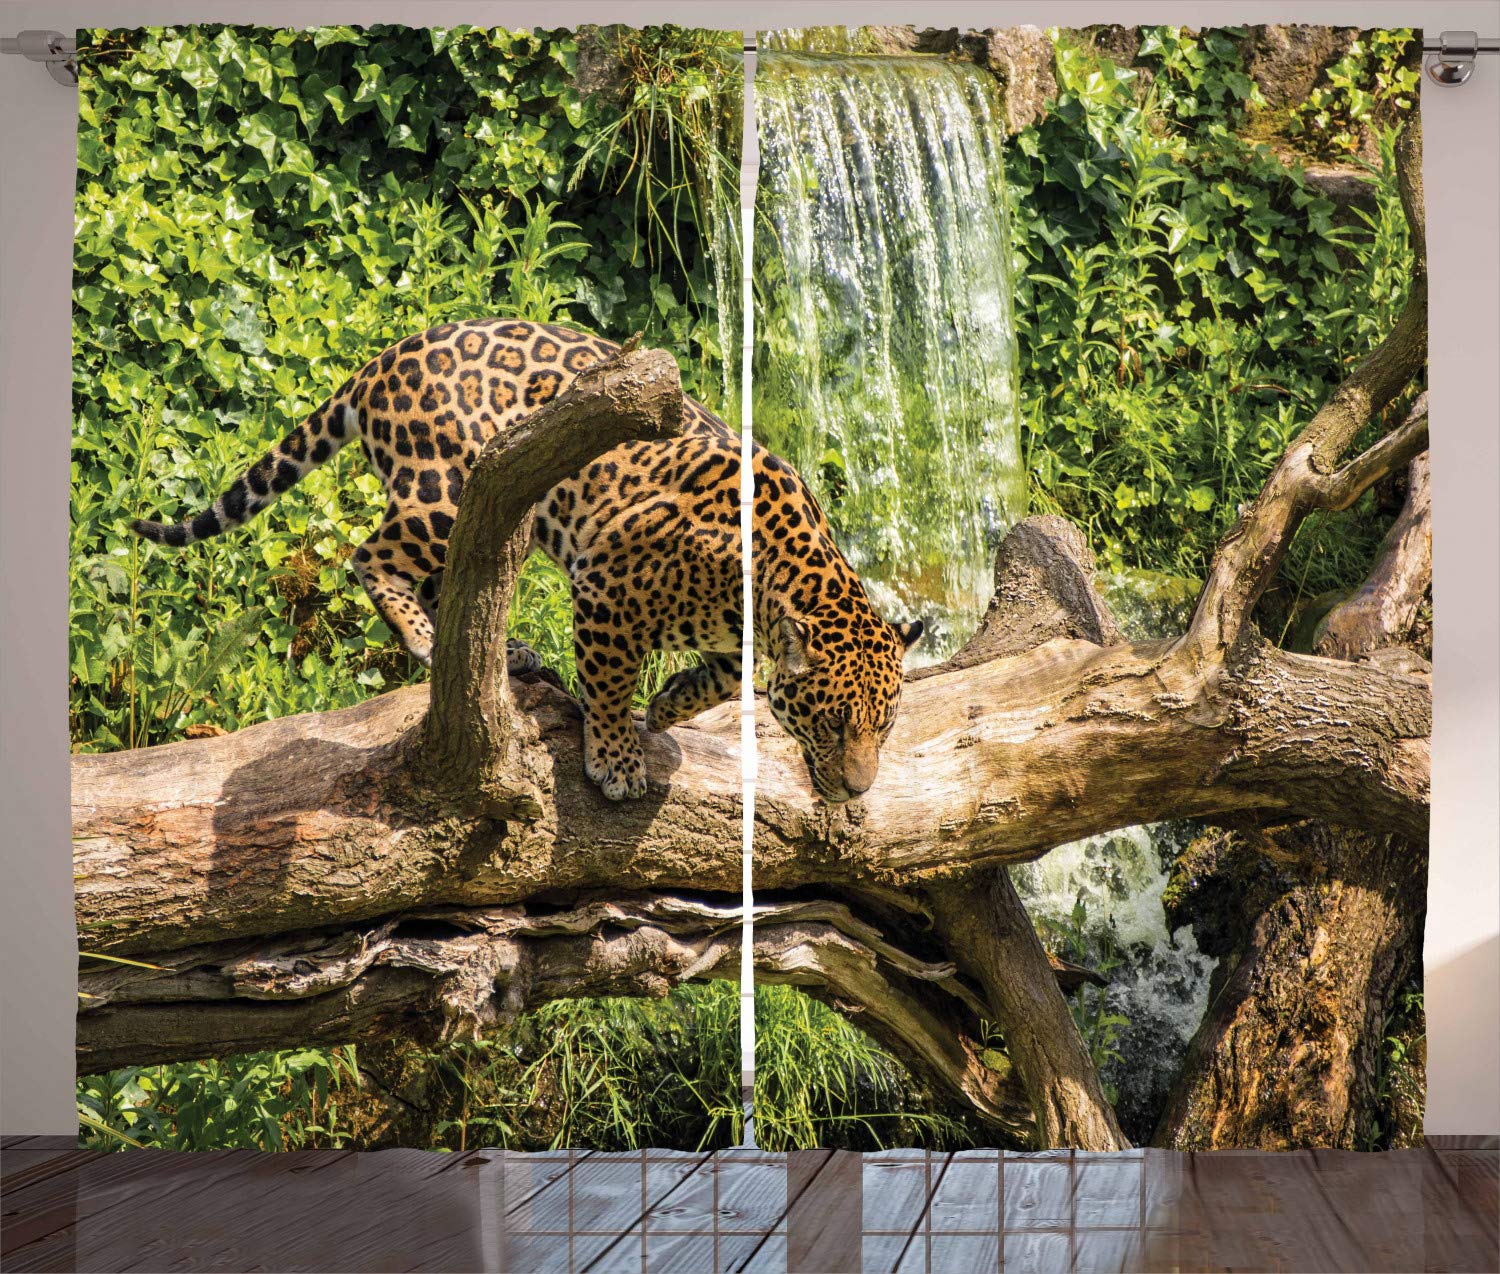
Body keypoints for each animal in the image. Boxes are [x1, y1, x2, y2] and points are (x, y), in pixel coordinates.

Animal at [132, 319, 923, 802]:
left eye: (884, 726)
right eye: (831, 722)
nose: (859, 790)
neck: (780, 570)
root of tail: (384, 358)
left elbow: (727, 677)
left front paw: (670, 705)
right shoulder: (606, 586)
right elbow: (608, 684)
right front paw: (617, 759)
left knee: (453, 585)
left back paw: (503, 650)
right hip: (446, 490)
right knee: (373, 555)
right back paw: (425, 641)